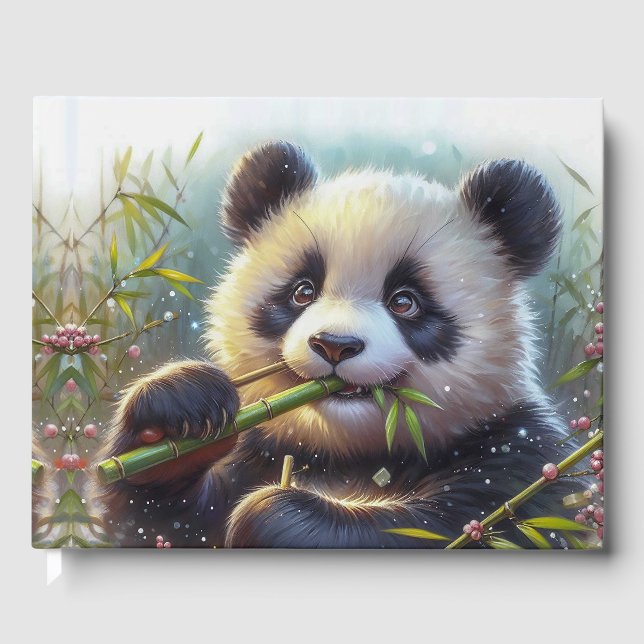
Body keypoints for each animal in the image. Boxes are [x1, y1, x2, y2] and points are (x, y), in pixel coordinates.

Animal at [97, 140, 585, 548]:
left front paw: (275, 515)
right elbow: (156, 526)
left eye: (405, 301)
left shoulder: (516, 457)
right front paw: (176, 413)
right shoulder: (261, 450)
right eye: (302, 291)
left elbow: (452, 527)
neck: (349, 454)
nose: (335, 346)